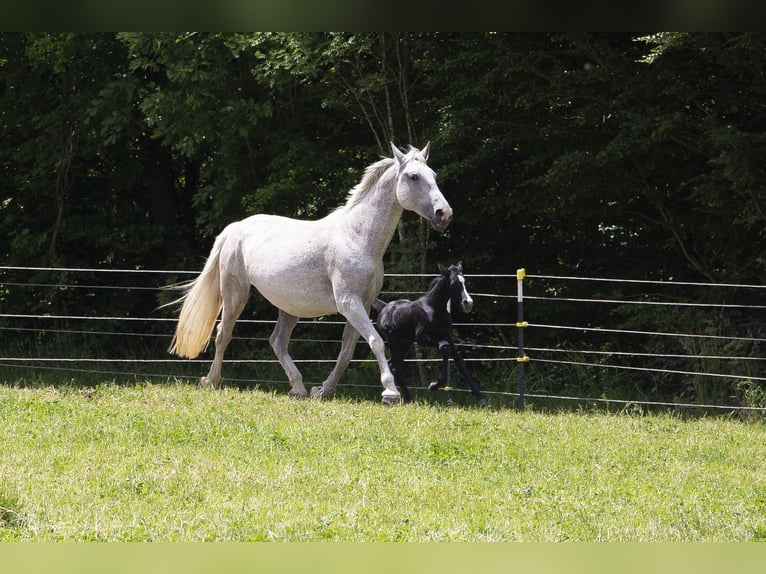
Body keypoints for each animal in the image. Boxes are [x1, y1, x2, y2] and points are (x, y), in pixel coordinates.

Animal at [167, 142, 452, 404]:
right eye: (413, 176)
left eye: (433, 175)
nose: (444, 214)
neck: (357, 237)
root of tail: (234, 229)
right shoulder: (348, 302)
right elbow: (376, 341)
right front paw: (390, 392)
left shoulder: (362, 303)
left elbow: (346, 352)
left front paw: (323, 390)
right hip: (235, 294)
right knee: (223, 335)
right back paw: (211, 381)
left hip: (289, 306)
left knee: (277, 341)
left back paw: (298, 388)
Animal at [372, 262, 488, 406]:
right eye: (454, 283)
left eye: (465, 281)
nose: (468, 303)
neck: (434, 309)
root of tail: (384, 308)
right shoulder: (421, 338)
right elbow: (444, 347)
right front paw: (434, 385)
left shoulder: (446, 336)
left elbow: (459, 360)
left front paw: (481, 398)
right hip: (393, 341)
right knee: (397, 368)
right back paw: (408, 398)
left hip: (406, 343)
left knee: (392, 364)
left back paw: (404, 397)